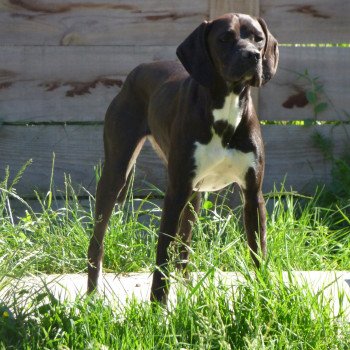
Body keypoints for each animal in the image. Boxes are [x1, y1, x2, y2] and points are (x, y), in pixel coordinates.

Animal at [87, 13, 278, 304]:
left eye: (258, 38)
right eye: (225, 38)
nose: (253, 55)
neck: (225, 109)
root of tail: (138, 70)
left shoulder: (253, 195)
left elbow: (258, 252)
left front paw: (263, 294)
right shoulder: (175, 194)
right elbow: (162, 254)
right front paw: (157, 305)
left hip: (194, 194)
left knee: (184, 251)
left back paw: (190, 291)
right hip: (116, 174)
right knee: (97, 241)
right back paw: (90, 295)